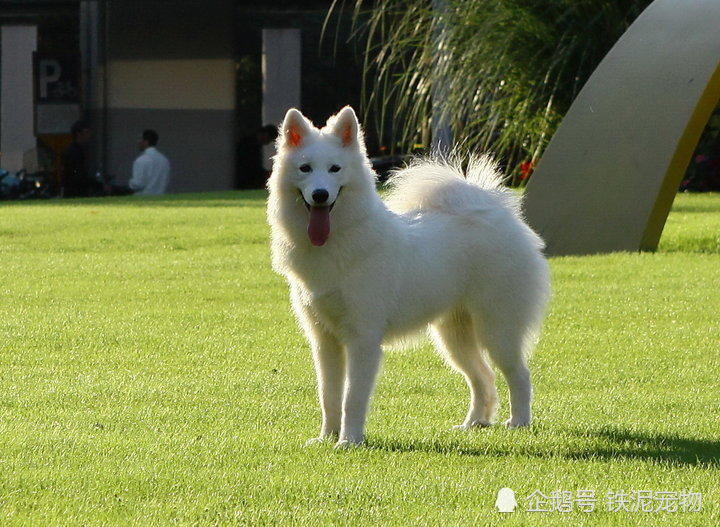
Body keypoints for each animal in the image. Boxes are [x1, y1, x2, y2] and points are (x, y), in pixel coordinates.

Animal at [268, 107, 548, 450]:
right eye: (305, 169)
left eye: (335, 169)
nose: (320, 195)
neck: (339, 240)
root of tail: (500, 214)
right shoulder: (324, 341)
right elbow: (329, 396)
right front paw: (326, 438)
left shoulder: (363, 340)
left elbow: (352, 398)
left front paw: (349, 441)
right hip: (454, 337)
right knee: (484, 377)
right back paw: (473, 424)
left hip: (497, 330)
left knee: (519, 375)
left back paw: (519, 423)